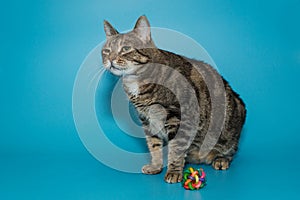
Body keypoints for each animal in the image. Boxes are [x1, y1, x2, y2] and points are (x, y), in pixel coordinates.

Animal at [101, 15, 246, 184]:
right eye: (106, 51)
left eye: (125, 49)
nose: (110, 59)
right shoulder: (147, 120)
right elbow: (154, 145)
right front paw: (156, 166)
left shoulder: (179, 117)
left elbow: (176, 147)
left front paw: (174, 172)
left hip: (230, 125)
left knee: (231, 150)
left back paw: (220, 159)